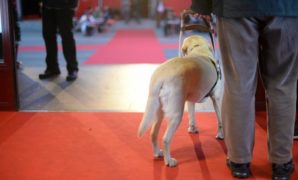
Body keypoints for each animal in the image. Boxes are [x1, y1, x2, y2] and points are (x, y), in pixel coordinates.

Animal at [137, 34, 224, 167]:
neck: (199, 50)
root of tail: (161, 75)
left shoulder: (190, 101)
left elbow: (192, 117)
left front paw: (193, 129)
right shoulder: (217, 98)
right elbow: (220, 120)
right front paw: (220, 135)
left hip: (158, 111)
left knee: (153, 133)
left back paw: (157, 153)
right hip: (176, 114)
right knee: (166, 139)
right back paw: (169, 161)